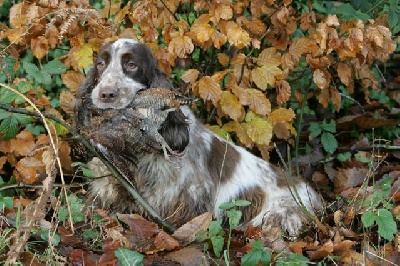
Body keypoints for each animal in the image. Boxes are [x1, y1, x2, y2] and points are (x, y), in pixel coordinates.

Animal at [75, 38, 324, 237]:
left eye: (132, 65)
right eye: (101, 64)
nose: (106, 94)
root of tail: (314, 195)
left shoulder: (191, 196)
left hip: (279, 212)